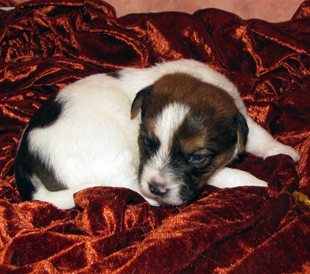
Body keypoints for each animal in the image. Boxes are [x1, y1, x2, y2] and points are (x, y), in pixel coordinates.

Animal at [15, 58, 300, 209]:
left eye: (197, 158)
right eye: (147, 142)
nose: (155, 187)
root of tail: (26, 162)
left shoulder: (242, 118)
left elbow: (260, 136)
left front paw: (284, 151)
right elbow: (224, 174)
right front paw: (257, 183)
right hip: (110, 152)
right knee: (123, 184)